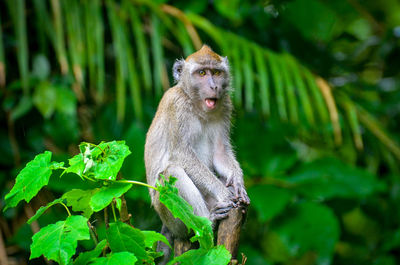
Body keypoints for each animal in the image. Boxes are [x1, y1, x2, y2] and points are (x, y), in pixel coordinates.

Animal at [144, 44, 250, 260]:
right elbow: (181, 155)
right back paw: (208, 220)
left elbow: (220, 153)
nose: (214, 86)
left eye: (216, 73)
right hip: (171, 214)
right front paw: (225, 194)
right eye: (201, 73)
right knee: (171, 173)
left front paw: (237, 184)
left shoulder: (225, 105)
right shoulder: (177, 105)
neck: (195, 104)